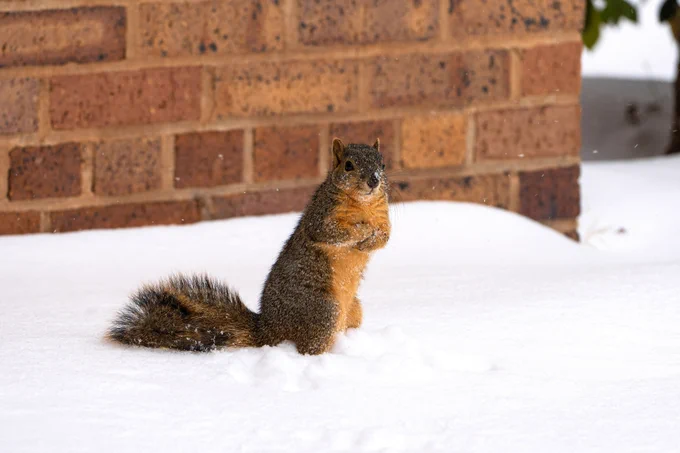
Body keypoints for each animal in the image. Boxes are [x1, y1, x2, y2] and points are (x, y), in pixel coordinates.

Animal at [108, 138, 391, 355]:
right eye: (349, 165)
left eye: (383, 164)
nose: (374, 181)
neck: (362, 204)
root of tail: (267, 331)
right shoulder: (321, 216)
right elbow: (330, 232)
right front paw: (362, 232)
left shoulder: (383, 216)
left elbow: (386, 236)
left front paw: (372, 238)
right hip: (324, 312)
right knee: (309, 347)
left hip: (353, 310)